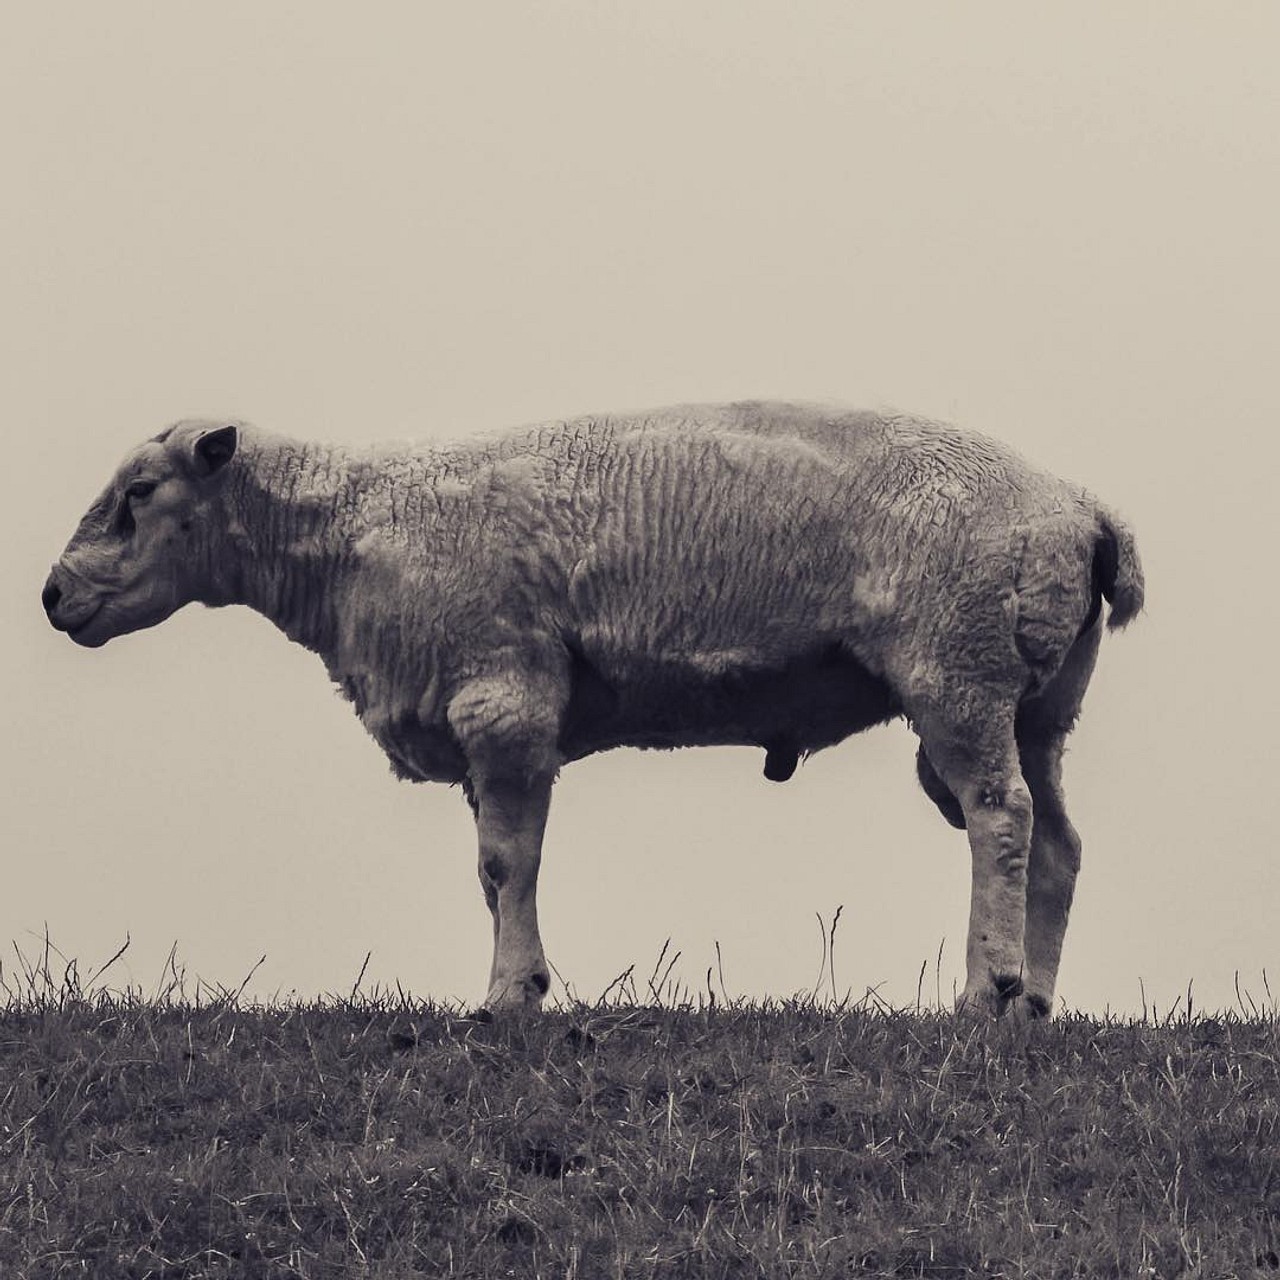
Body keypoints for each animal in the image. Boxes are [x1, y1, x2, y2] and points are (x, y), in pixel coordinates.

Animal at [42, 401, 1143, 1018]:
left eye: (139, 492)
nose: (52, 596)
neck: (355, 534)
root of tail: (1086, 511)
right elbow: (496, 868)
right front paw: (515, 989)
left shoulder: (503, 695)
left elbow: (504, 865)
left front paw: (508, 999)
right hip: (1040, 700)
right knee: (1055, 840)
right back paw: (1033, 1001)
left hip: (959, 672)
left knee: (1000, 819)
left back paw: (983, 992)